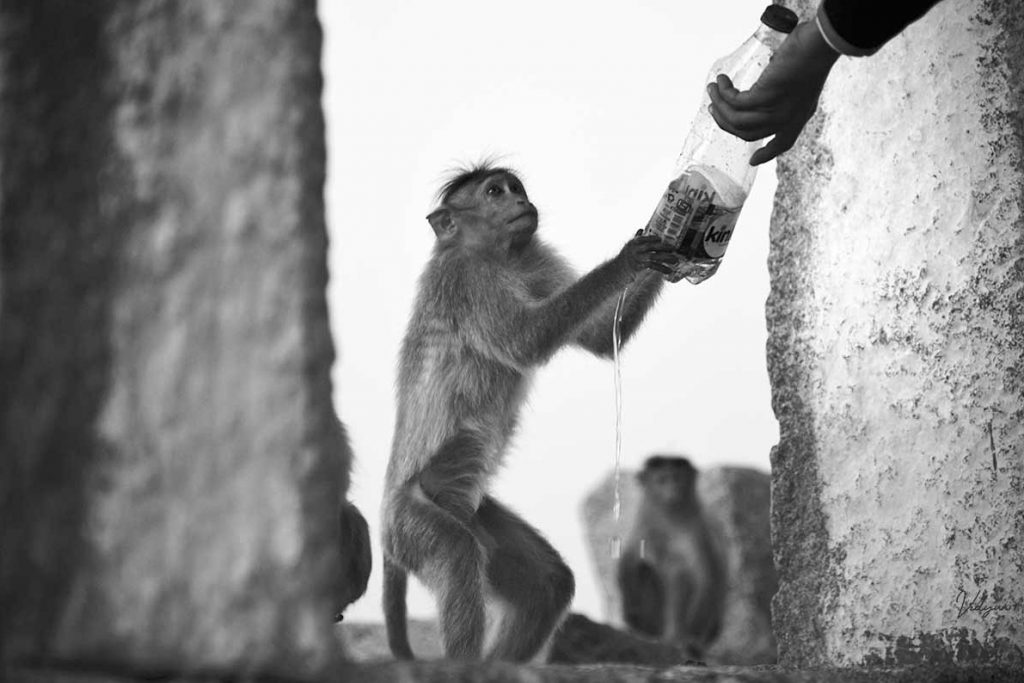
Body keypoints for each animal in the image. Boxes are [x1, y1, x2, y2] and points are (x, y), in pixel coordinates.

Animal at [380, 161, 675, 663]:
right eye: (494, 192)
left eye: (515, 188)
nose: (522, 201)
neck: (500, 256)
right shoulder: (468, 280)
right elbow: (526, 340)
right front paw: (630, 257)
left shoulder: (534, 260)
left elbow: (601, 335)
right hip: (411, 521)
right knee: (457, 557)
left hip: (476, 512)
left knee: (547, 584)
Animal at [610, 456, 724, 655]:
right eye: (661, 480)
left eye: (677, 478)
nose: (672, 489)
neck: (669, 519)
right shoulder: (644, 526)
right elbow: (629, 561)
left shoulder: (697, 532)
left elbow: (705, 579)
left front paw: (691, 640)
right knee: (644, 568)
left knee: (678, 571)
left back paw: (677, 639)